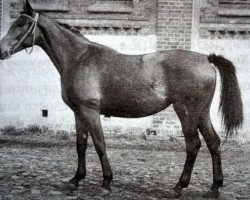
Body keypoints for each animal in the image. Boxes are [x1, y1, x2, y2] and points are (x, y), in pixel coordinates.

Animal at [0, 0, 242, 197]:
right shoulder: (78, 112)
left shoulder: (90, 111)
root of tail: (206, 59)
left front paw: (106, 182)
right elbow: (81, 145)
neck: (79, 58)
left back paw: (179, 187)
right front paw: (76, 179)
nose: (2, 51)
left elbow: (99, 144)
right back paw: (214, 187)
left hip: (186, 112)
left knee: (193, 145)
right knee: (213, 143)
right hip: (202, 113)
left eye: (21, 24)